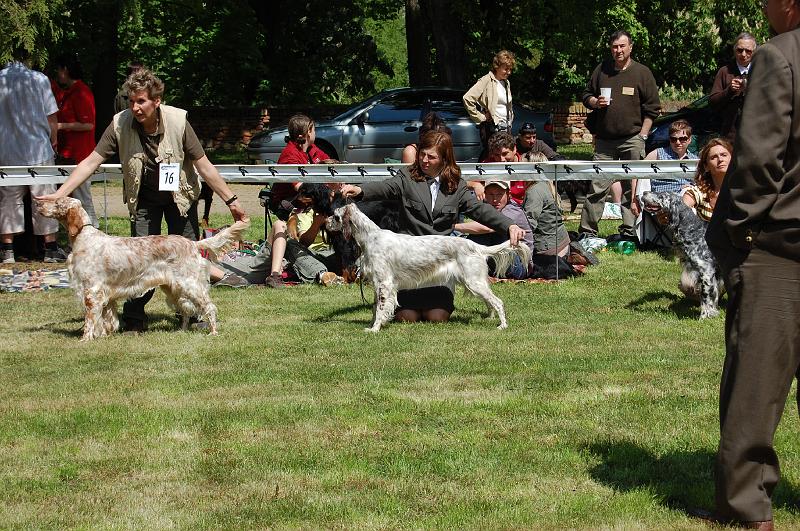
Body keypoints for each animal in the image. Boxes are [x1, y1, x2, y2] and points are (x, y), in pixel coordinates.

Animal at [36, 196, 248, 340]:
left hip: (190, 285)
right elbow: (105, 319)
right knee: (186, 310)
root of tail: (193, 244)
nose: (38, 203)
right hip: (173, 288)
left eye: (57, 202)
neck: (84, 237)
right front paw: (104, 336)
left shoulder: (92, 290)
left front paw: (85, 339)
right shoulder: (105, 294)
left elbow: (90, 320)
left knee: (208, 307)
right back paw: (181, 330)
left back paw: (213, 332)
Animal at [324, 202, 532, 330]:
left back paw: (502, 325)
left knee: (498, 302)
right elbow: (376, 308)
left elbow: (381, 308)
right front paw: (373, 324)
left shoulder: (384, 283)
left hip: (474, 281)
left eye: (335, 216)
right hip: (474, 283)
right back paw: (489, 318)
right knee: (490, 302)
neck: (370, 237)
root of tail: (476, 246)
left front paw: (374, 329)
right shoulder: (378, 283)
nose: (324, 222)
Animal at [636, 191, 724, 320]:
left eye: (661, 195)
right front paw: (713, 313)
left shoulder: (706, 271)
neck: (693, 229)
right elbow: (714, 296)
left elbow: (705, 298)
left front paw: (703, 317)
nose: (644, 192)